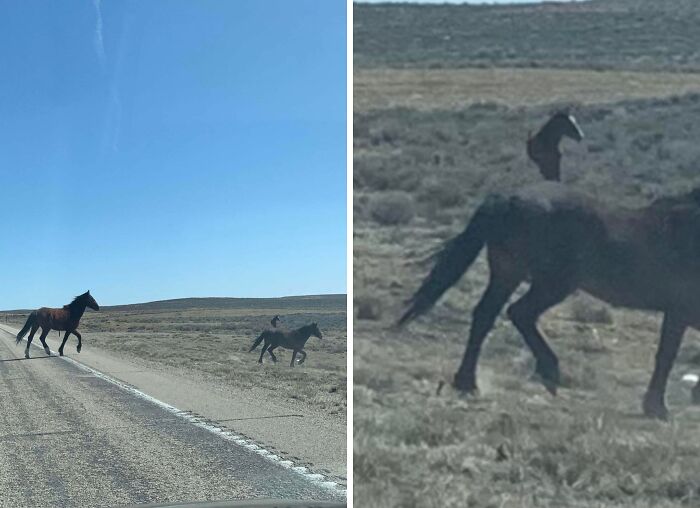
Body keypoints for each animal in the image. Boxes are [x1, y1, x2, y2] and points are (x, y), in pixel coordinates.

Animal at [398, 181, 700, 420]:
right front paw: (657, 408)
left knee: (486, 315)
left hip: (508, 274)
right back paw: (548, 371)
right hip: (551, 284)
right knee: (518, 313)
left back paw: (467, 382)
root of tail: (507, 199)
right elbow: (666, 355)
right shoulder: (678, 311)